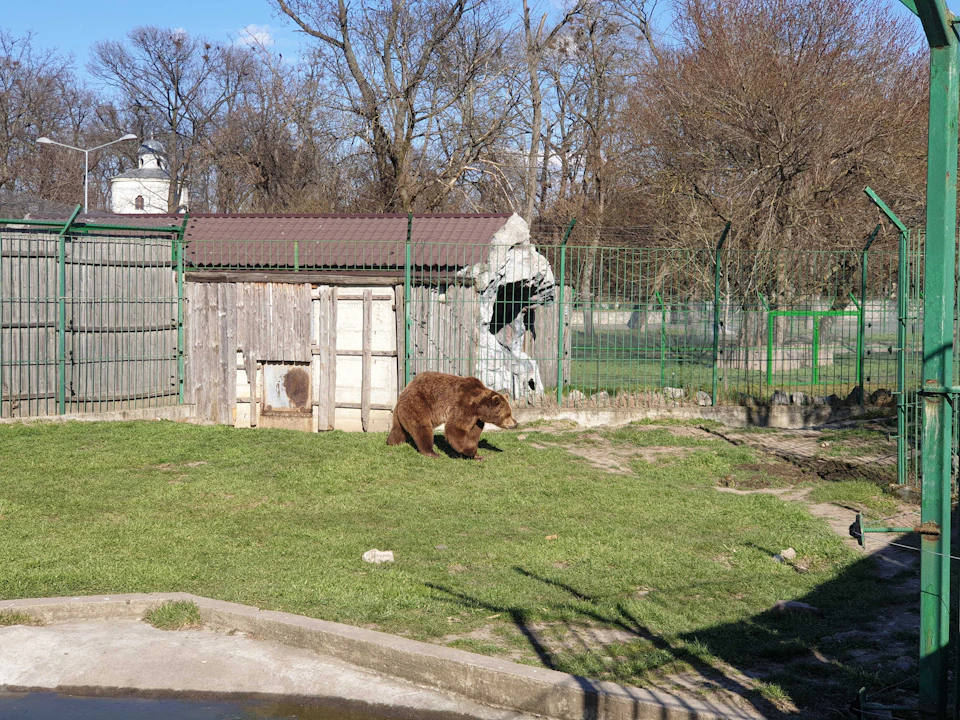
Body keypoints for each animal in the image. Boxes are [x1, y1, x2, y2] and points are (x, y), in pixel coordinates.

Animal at [386, 372, 518, 459]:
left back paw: (392, 442)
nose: (515, 423)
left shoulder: (477, 419)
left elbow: (473, 433)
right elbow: (455, 428)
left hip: (403, 410)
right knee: (422, 427)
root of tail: (406, 388)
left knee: (399, 428)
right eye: (508, 414)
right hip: (418, 403)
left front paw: (477, 455)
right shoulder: (464, 405)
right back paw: (432, 452)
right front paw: (470, 451)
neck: (479, 407)